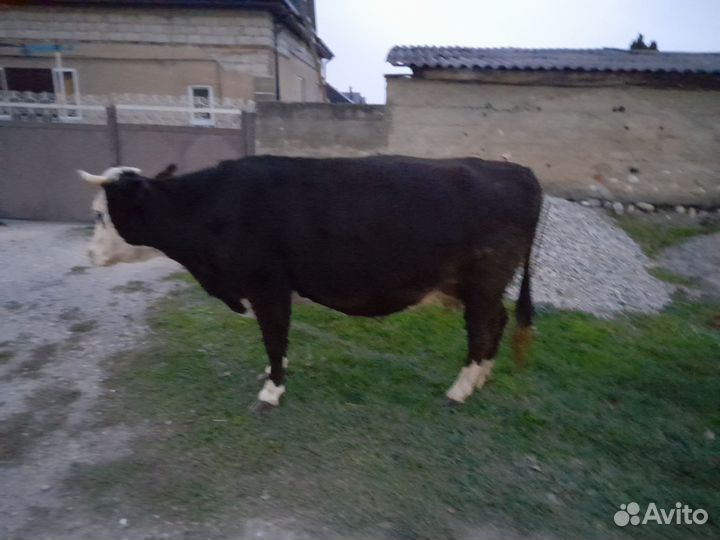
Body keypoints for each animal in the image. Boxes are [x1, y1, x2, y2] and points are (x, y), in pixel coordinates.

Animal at [78, 155, 542, 410]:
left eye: (100, 214)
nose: (90, 256)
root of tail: (513, 169)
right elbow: (277, 340)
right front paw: (273, 376)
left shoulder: (267, 284)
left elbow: (274, 337)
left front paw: (271, 391)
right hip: (475, 285)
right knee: (496, 322)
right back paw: (481, 379)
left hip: (484, 279)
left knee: (482, 327)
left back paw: (460, 389)